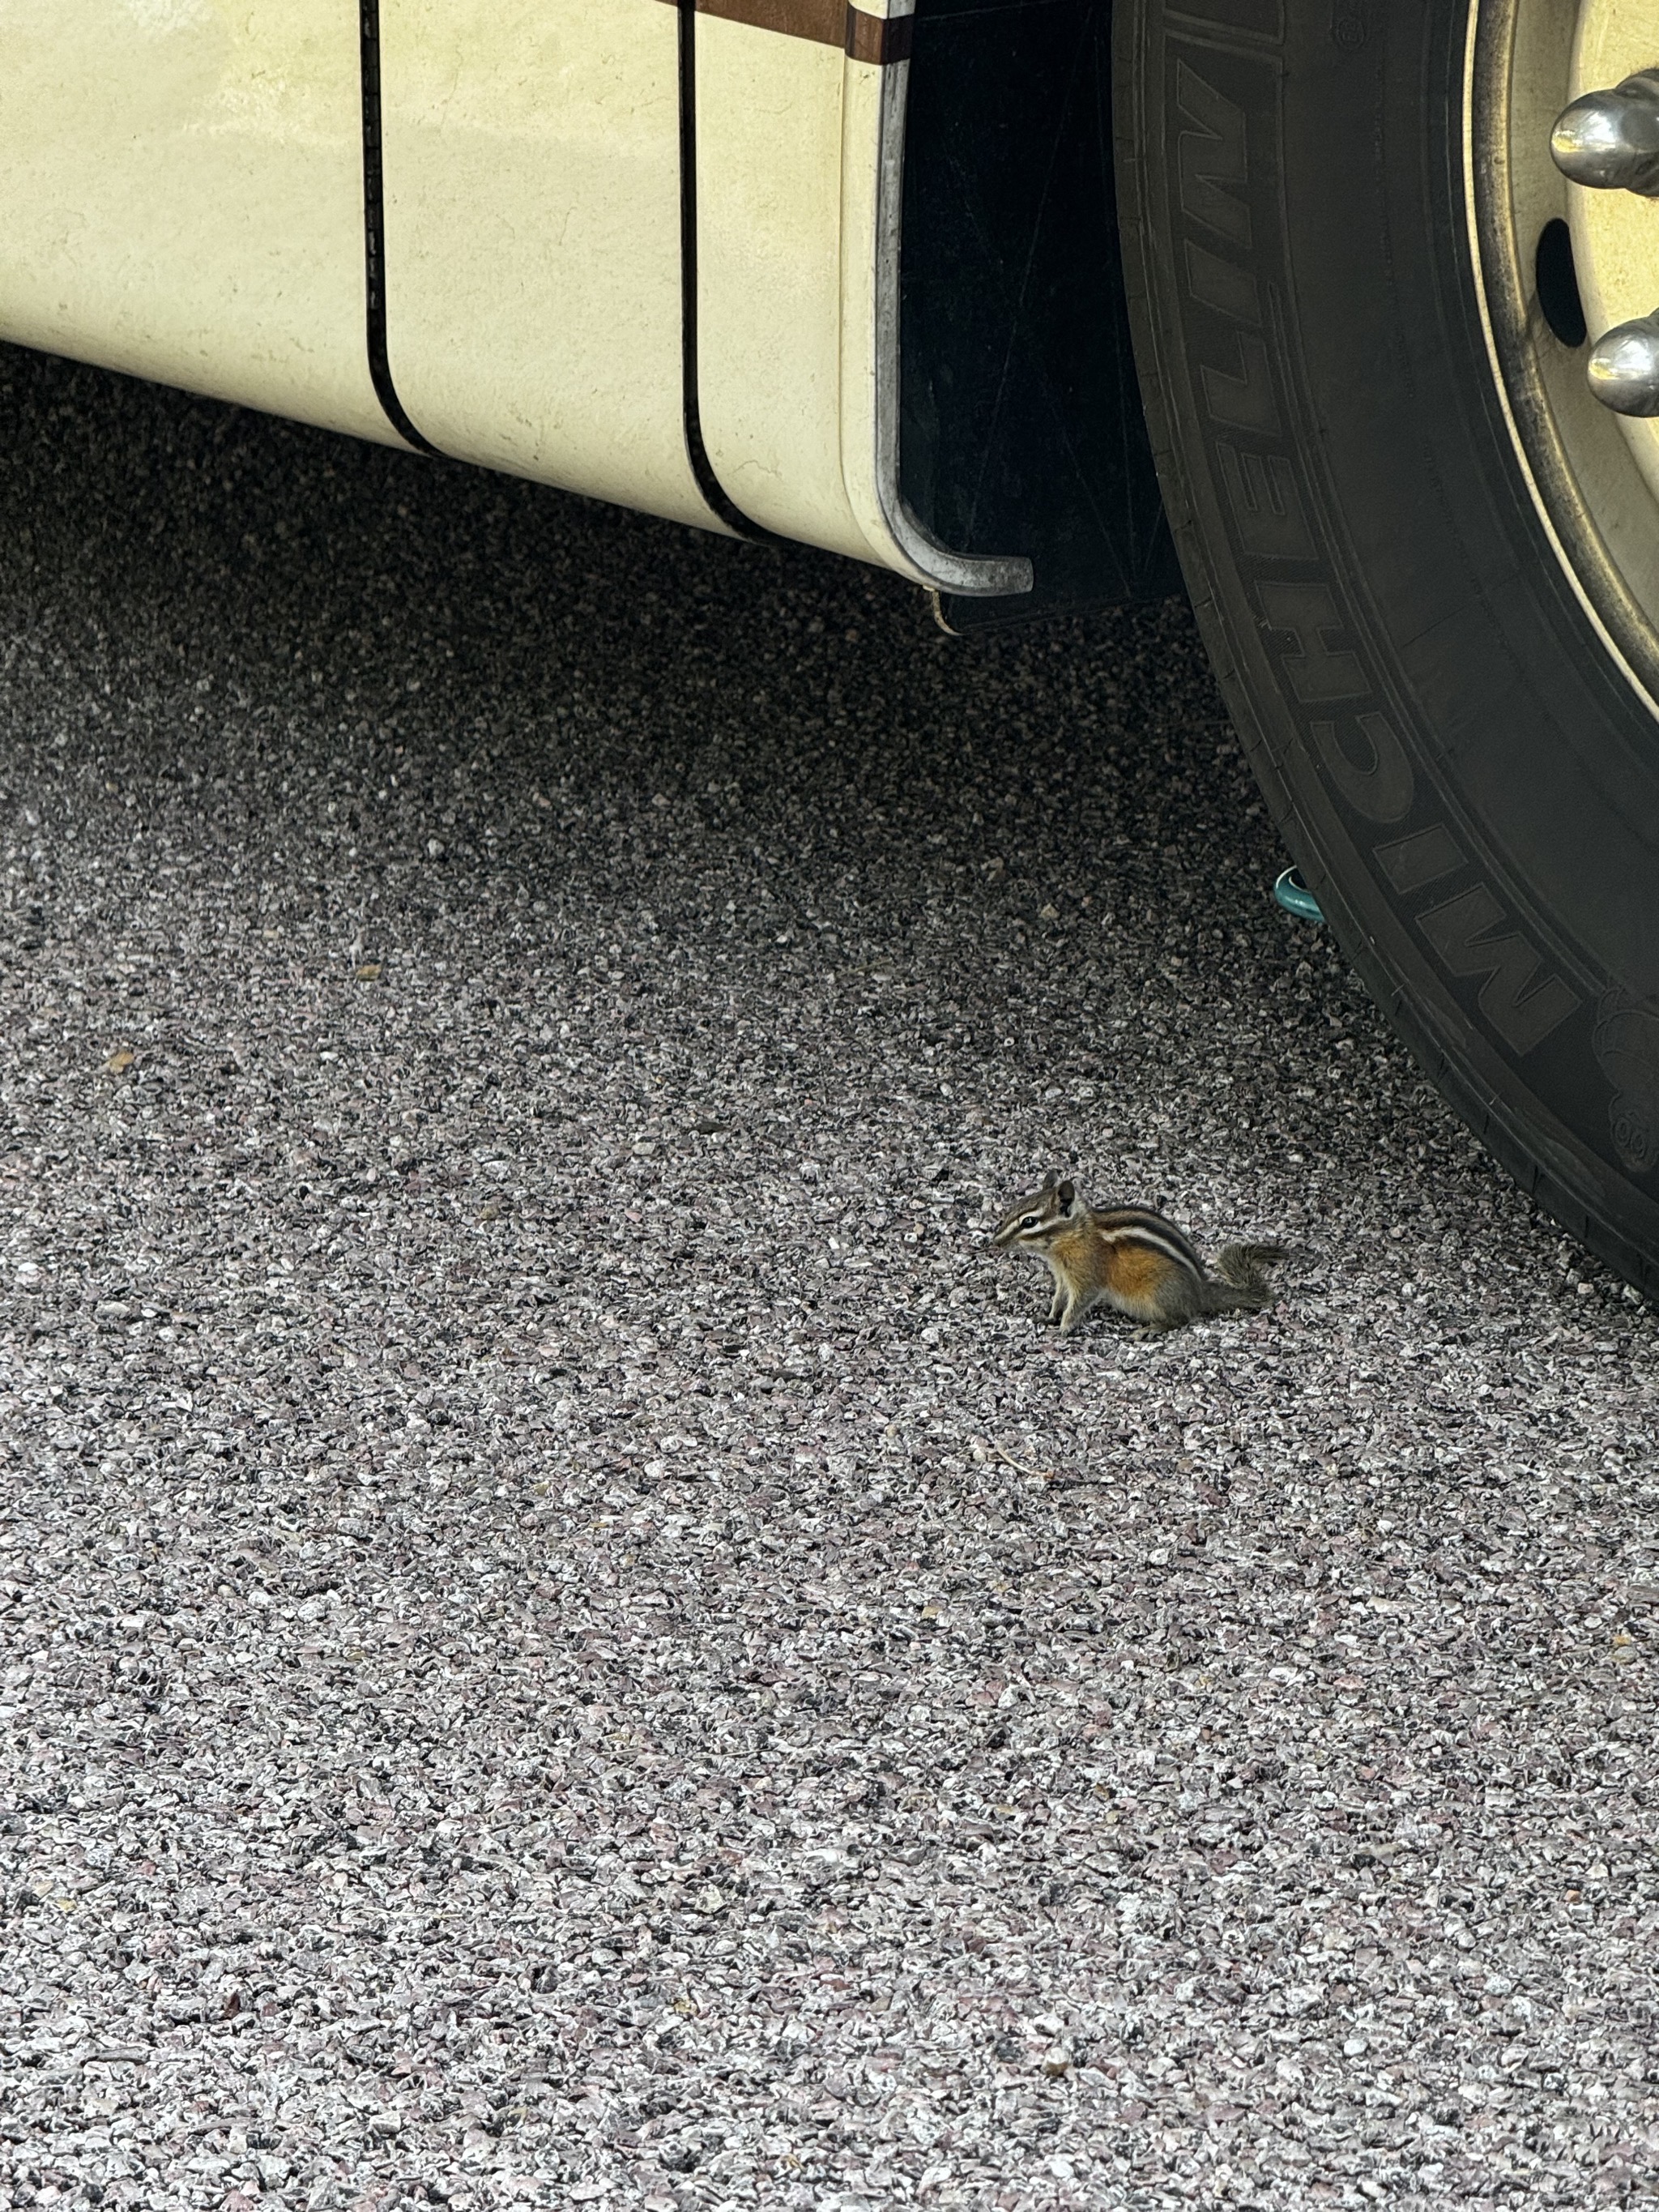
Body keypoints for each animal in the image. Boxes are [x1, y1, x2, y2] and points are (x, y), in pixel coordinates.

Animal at [992, 1172, 1286, 1334]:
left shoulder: (1087, 1276)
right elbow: (1059, 1298)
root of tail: (1201, 1291)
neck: (1073, 1237)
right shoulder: (1063, 1277)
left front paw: (1063, 1328)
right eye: (1014, 1208)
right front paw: (1050, 1316)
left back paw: (1153, 1328)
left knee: (1183, 1318)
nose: (995, 1241)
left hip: (1159, 1294)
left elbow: (1078, 1304)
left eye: (1030, 1222)